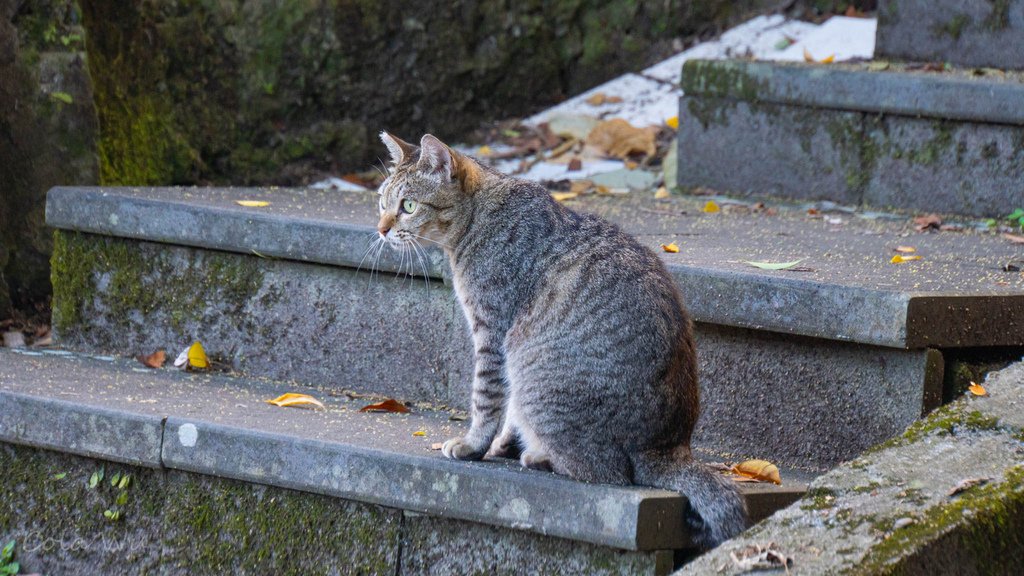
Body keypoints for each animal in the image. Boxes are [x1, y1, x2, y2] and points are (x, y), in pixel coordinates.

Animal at [374, 131, 745, 545]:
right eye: (382, 202)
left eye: (407, 206)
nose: (381, 229)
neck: (477, 218)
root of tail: (668, 447)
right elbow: (508, 412)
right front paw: (502, 444)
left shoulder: (494, 333)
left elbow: (486, 400)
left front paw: (473, 445)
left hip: (533, 367)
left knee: (608, 472)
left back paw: (541, 456)